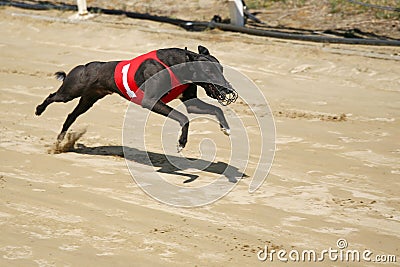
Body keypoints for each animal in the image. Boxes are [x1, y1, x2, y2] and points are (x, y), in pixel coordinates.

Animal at [35, 45, 238, 152]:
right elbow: (183, 118)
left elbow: (215, 109)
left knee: (71, 115)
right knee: (52, 96)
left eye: (221, 69)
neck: (177, 65)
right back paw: (39, 110)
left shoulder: (191, 103)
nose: (228, 90)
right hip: (70, 92)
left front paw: (226, 128)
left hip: (89, 99)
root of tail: (84, 66)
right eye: (209, 71)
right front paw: (181, 143)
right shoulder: (151, 102)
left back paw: (60, 140)